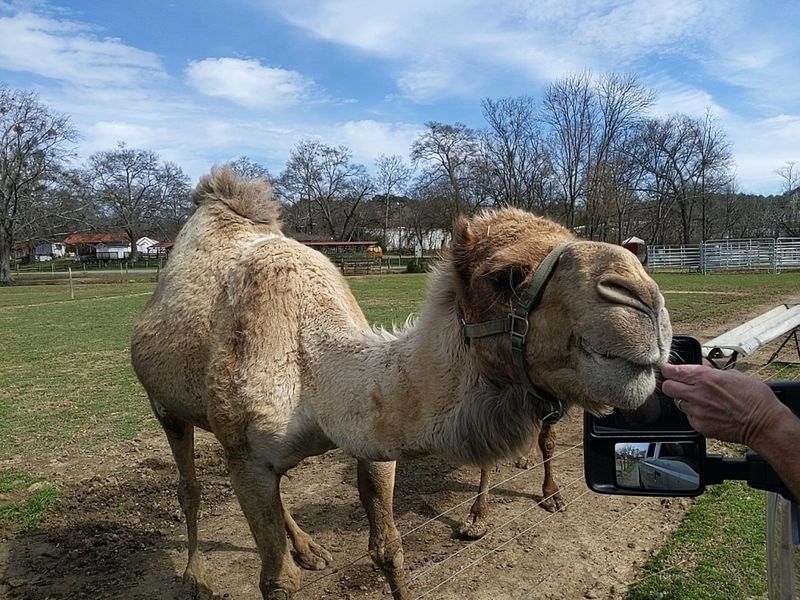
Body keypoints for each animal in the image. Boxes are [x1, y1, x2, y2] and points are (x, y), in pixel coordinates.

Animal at [130, 167, 672, 600]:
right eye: (504, 276)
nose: (643, 300)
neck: (313, 370)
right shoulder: (247, 455)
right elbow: (277, 581)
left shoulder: (372, 442)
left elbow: (389, 550)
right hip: (165, 407)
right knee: (189, 487)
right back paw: (196, 578)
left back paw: (310, 549)